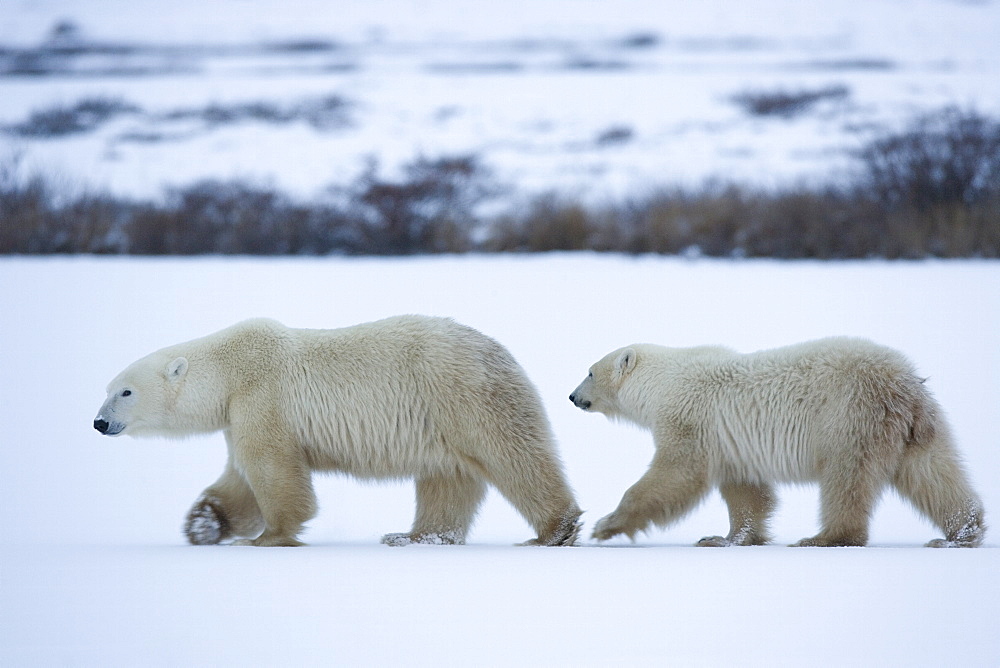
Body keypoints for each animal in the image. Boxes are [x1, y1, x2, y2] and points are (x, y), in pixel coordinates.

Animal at [94, 316, 584, 544]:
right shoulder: (238, 415)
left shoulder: (262, 398)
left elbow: (272, 470)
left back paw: (555, 530)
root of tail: (499, 351)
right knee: (448, 479)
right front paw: (204, 524)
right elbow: (240, 480)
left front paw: (270, 536)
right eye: (108, 388)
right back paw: (409, 537)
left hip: (463, 396)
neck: (229, 369)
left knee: (514, 457)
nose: (98, 422)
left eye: (125, 391)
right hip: (444, 422)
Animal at [572, 340, 984, 548]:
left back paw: (825, 538)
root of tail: (902, 382)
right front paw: (725, 538)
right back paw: (961, 534)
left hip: (850, 415)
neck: (663, 382)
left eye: (590, 371)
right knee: (933, 472)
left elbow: (676, 474)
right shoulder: (730, 440)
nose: (573, 397)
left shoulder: (690, 418)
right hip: (916, 427)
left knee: (847, 477)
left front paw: (606, 526)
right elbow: (746, 493)